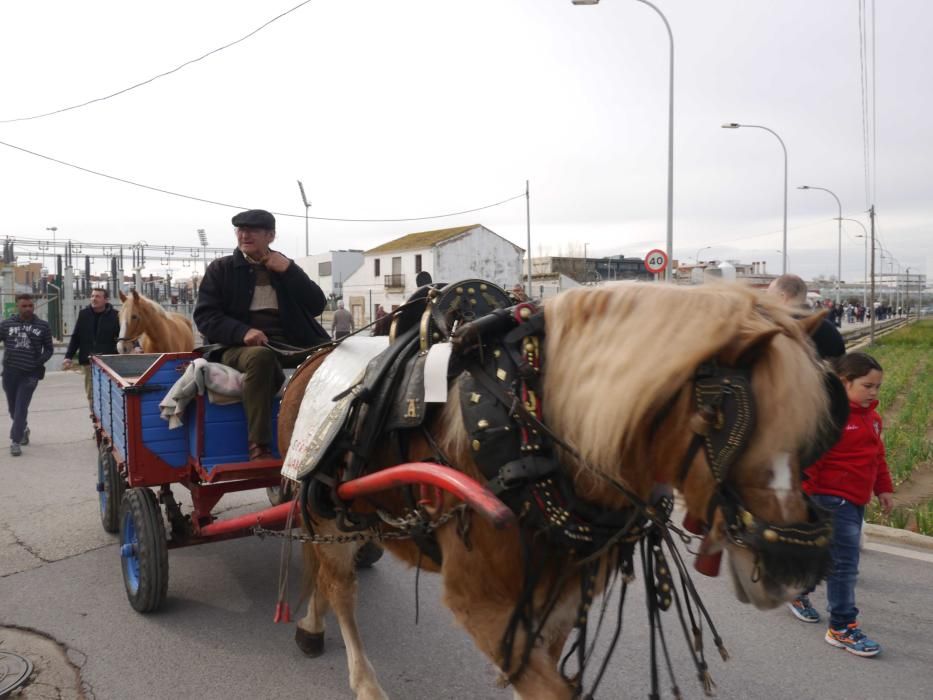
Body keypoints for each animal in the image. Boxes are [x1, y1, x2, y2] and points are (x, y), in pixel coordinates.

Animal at [276, 284, 836, 700]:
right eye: (723, 419)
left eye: (814, 428)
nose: (795, 568)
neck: (531, 424)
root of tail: (314, 357)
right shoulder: (481, 604)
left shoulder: (560, 599)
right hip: (327, 511)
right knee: (339, 586)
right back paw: (357, 672)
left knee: (324, 571)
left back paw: (311, 623)